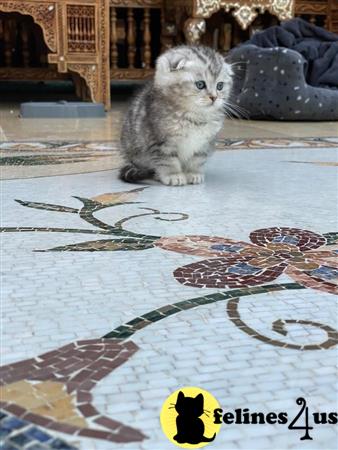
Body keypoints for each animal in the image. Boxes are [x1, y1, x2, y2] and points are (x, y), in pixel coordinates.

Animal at [119, 44, 232, 185]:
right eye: (200, 84)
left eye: (220, 86)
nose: (214, 97)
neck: (195, 117)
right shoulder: (160, 141)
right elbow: (167, 160)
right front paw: (174, 175)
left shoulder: (205, 143)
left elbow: (197, 159)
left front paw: (193, 173)